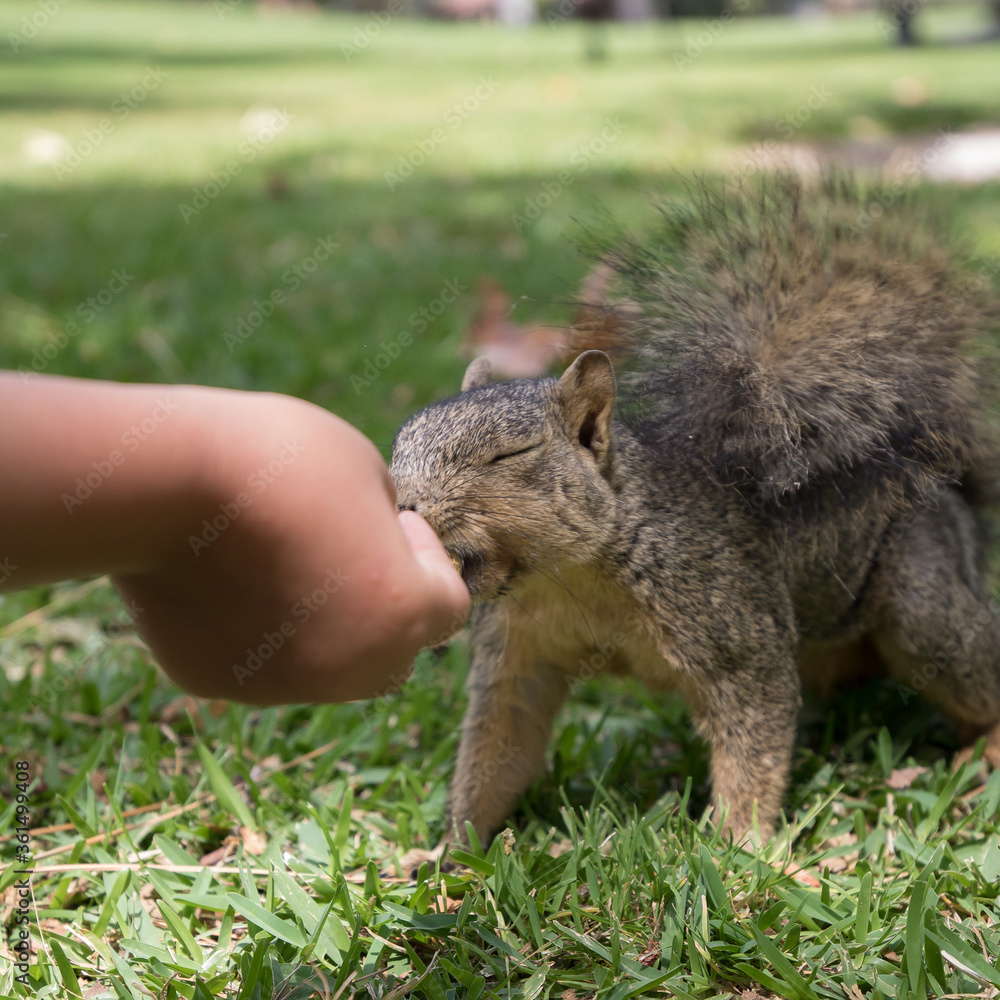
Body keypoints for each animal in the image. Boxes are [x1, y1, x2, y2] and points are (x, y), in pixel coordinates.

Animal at [389, 175, 1000, 845]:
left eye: (510, 454)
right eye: (399, 444)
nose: (404, 507)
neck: (570, 577)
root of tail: (946, 485)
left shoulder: (734, 624)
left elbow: (755, 730)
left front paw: (741, 848)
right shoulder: (517, 652)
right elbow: (497, 747)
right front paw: (451, 850)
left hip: (924, 598)